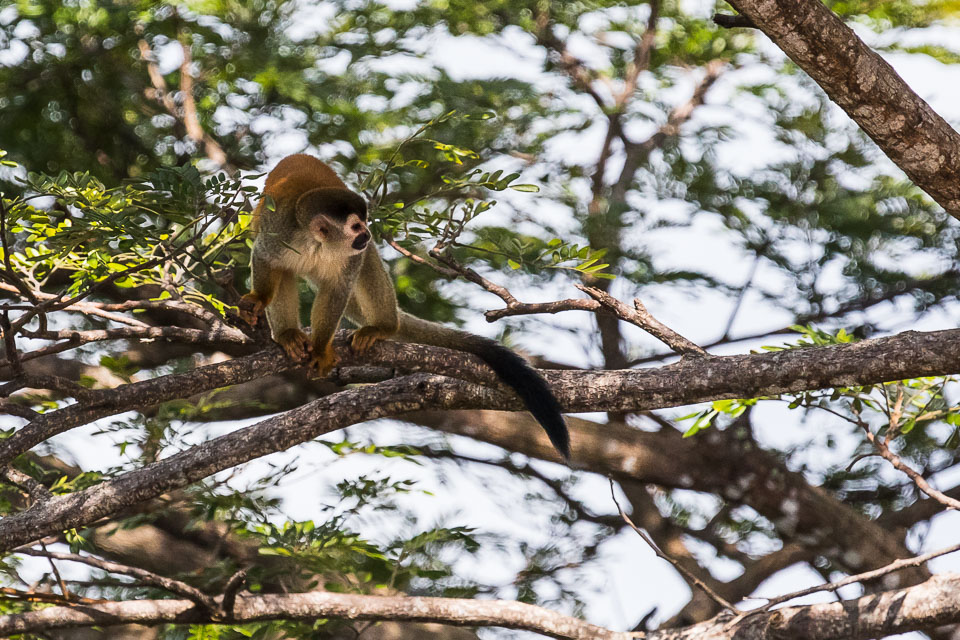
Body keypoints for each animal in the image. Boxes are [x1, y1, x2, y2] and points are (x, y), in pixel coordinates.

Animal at [240, 152, 568, 458]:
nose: (367, 233)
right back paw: (288, 335)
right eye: (355, 225)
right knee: (285, 272)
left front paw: (320, 349)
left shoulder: (348, 254)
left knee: (367, 263)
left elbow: (337, 290)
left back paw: (384, 326)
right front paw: (260, 299)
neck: (317, 243)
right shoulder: (279, 232)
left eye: (364, 223)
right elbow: (265, 257)